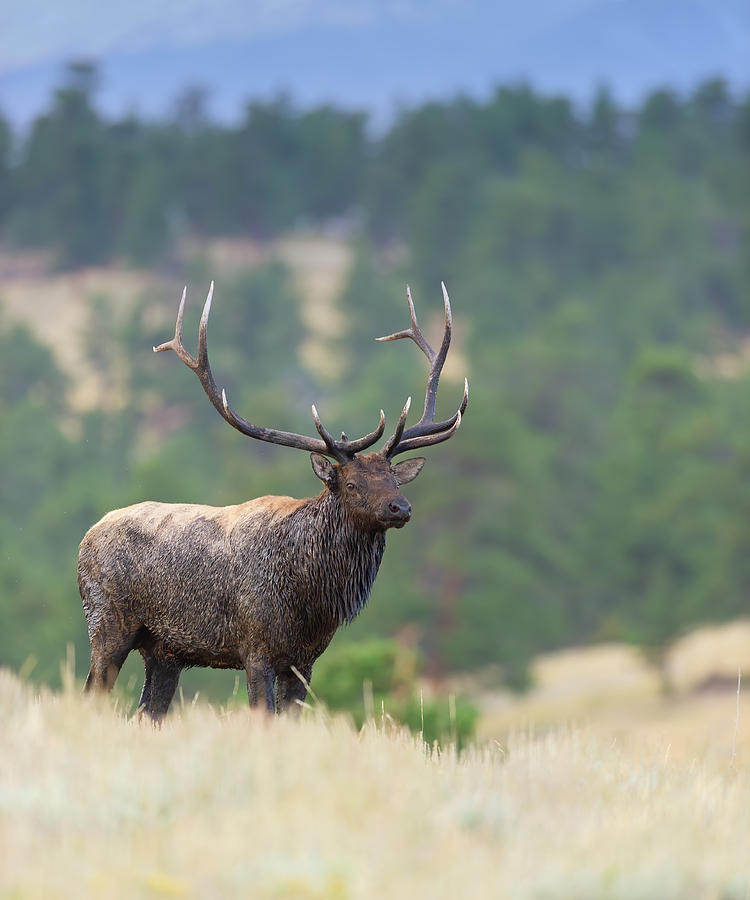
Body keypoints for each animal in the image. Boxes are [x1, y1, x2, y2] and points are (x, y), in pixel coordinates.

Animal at [79, 280, 468, 716]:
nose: (400, 507)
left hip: (165, 651)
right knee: (92, 692)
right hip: (107, 622)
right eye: (351, 484)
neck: (312, 600)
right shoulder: (255, 645)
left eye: (394, 480)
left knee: (148, 712)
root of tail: (85, 538)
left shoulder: (305, 659)